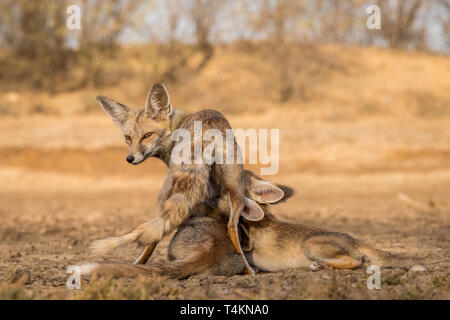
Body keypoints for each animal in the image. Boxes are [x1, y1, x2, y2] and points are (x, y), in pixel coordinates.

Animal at [93, 84, 256, 274]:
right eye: (128, 138)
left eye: (148, 135)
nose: (130, 159)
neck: (177, 126)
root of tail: (207, 133)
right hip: (236, 188)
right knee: (231, 226)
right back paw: (248, 270)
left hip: (164, 191)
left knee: (156, 234)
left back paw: (138, 264)